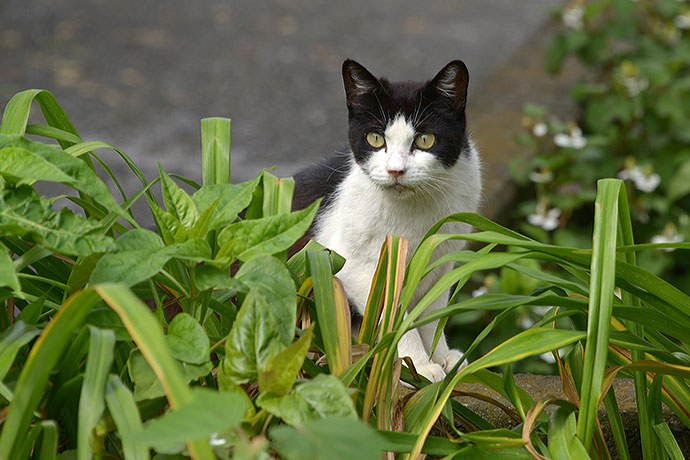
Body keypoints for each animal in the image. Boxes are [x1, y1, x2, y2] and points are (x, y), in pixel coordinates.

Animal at [292, 58, 482, 380]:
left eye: (425, 139)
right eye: (375, 138)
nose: (396, 170)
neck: (415, 210)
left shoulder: (441, 260)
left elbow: (432, 310)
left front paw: (440, 355)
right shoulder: (354, 265)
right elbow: (393, 315)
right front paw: (418, 365)